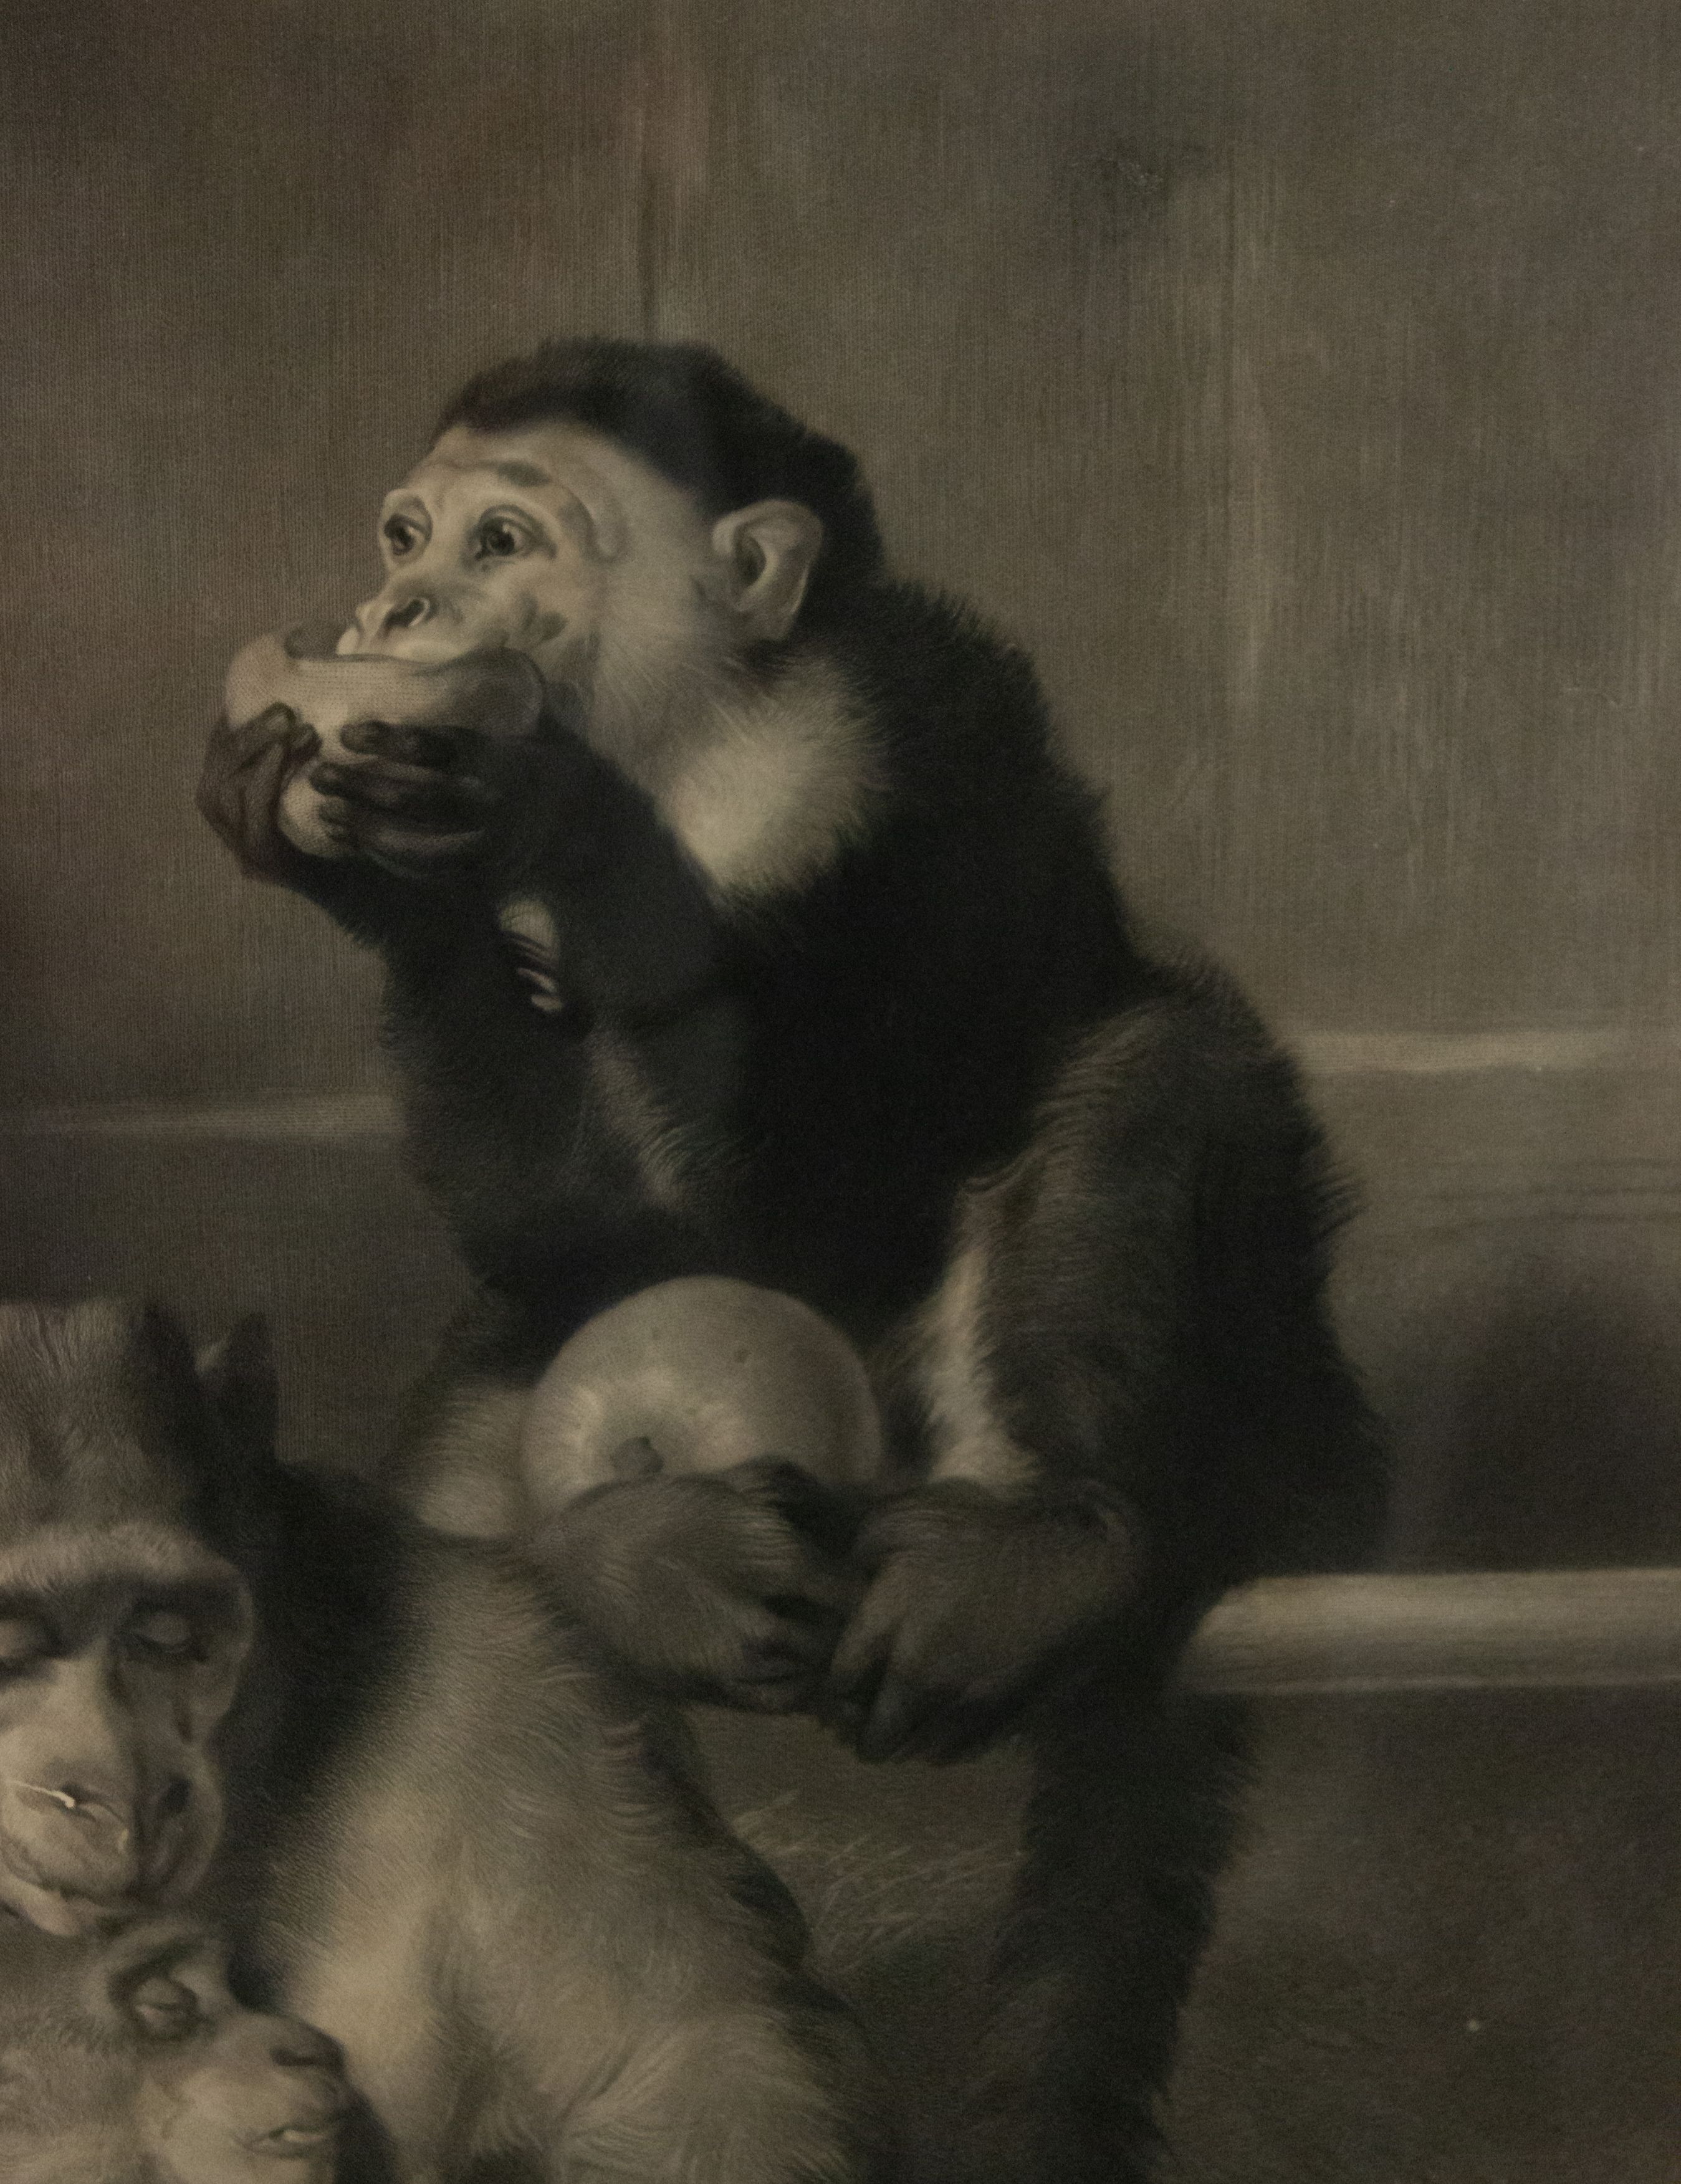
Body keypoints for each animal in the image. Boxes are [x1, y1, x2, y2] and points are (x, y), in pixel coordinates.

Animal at [197, 338, 1386, 2183]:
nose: (391, 608)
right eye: (405, 533)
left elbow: (844, 1142)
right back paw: (635, 1559)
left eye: (500, 541)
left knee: (1151, 1073)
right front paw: (401, 881)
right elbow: (596, 1238)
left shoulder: (905, 737)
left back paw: (1065, 1539)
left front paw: (516, 807)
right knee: (498, 1430)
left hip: (1260, 1417)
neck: (696, 754)